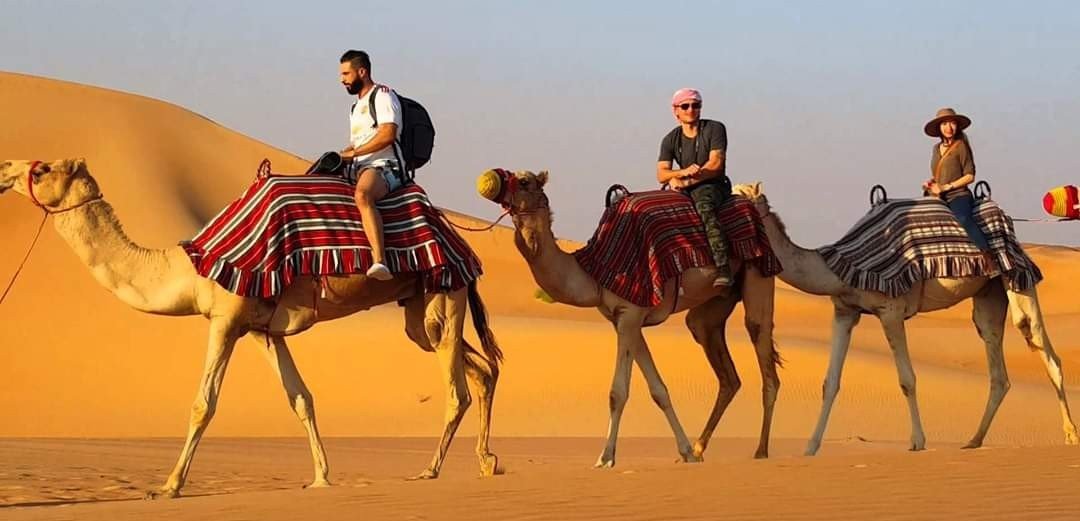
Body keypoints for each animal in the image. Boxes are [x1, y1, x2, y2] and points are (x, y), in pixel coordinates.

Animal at [0, 158, 503, 498]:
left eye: (43, 169)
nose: (6, 167)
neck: (191, 267)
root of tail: (456, 235)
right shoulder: (263, 329)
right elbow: (301, 398)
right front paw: (321, 477)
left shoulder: (226, 317)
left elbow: (203, 404)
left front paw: (168, 485)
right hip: (422, 307)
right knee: (481, 369)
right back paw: (486, 462)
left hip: (444, 294)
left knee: (458, 387)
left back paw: (430, 471)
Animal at [475, 169, 780, 466]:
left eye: (524, 181)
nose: (490, 182)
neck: (593, 272)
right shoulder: (625, 320)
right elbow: (651, 390)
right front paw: (682, 452)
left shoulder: (631, 314)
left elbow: (624, 391)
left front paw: (608, 456)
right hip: (714, 305)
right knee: (724, 367)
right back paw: (702, 447)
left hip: (758, 269)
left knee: (762, 345)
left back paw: (761, 450)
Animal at [732, 181, 1080, 455]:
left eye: (740, 198)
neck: (840, 266)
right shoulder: (845, 311)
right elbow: (830, 382)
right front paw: (810, 447)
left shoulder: (891, 310)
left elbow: (907, 379)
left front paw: (917, 441)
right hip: (988, 294)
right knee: (997, 366)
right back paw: (973, 440)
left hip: (1017, 277)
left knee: (1043, 348)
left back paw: (1070, 435)